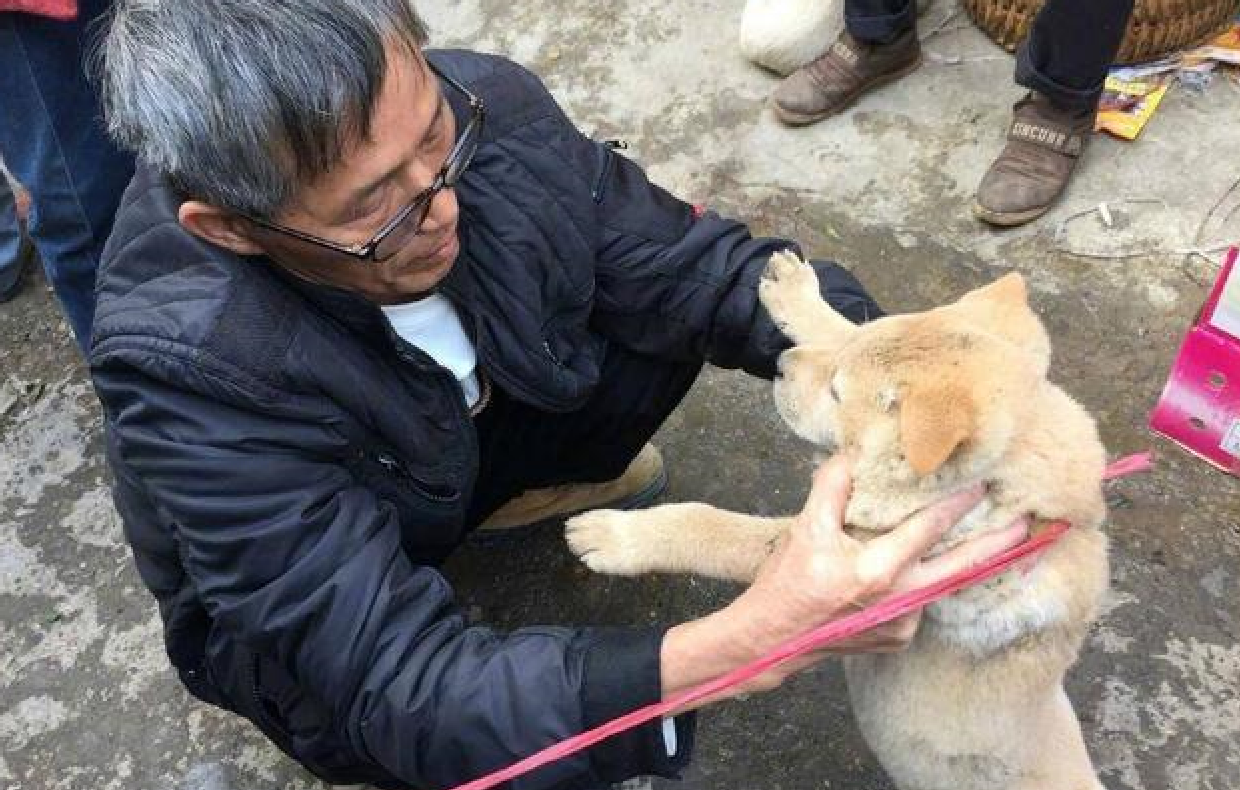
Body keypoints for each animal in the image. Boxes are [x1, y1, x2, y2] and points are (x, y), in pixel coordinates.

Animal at [567, 250, 1111, 788]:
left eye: (835, 392)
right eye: (838, 370)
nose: (781, 365)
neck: (998, 493)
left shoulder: (838, 546)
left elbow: (715, 528)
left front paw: (616, 537)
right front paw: (796, 293)